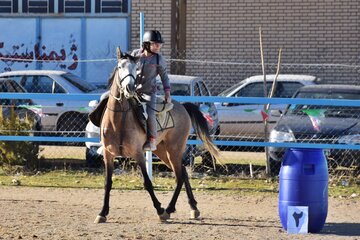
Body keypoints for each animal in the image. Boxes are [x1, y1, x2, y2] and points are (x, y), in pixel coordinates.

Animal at [93, 47, 219, 223]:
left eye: (135, 68)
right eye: (120, 67)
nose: (130, 88)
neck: (118, 120)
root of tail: (183, 106)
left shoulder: (138, 154)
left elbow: (147, 182)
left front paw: (159, 209)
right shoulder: (108, 154)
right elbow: (107, 183)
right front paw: (102, 213)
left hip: (174, 150)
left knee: (180, 176)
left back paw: (169, 209)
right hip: (162, 151)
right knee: (183, 173)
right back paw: (193, 208)